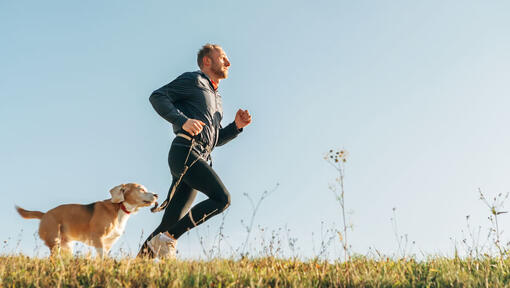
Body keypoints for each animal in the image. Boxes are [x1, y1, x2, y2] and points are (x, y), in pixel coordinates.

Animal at [15, 183, 157, 255]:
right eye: (141, 189)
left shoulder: (108, 244)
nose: (156, 195)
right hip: (55, 242)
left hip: (66, 246)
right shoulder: (98, 238)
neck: (120, 208)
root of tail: (45, 214)